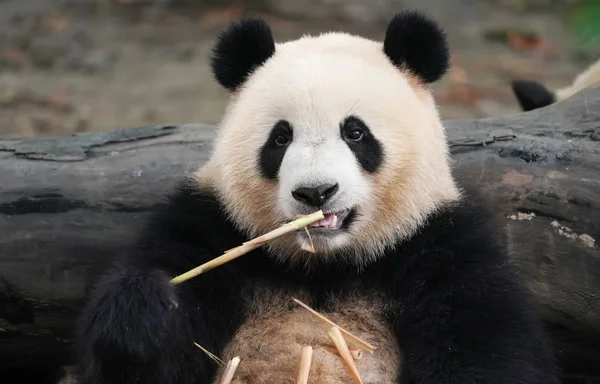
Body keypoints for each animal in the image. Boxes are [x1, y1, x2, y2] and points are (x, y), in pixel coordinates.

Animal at [74, 9, 556, 384]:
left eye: (355, 132)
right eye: (280, 137)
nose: (315, 191)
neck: (324, 267)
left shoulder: (437, 248)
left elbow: (486, 347)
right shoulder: (210, 227)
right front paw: (145, 310)